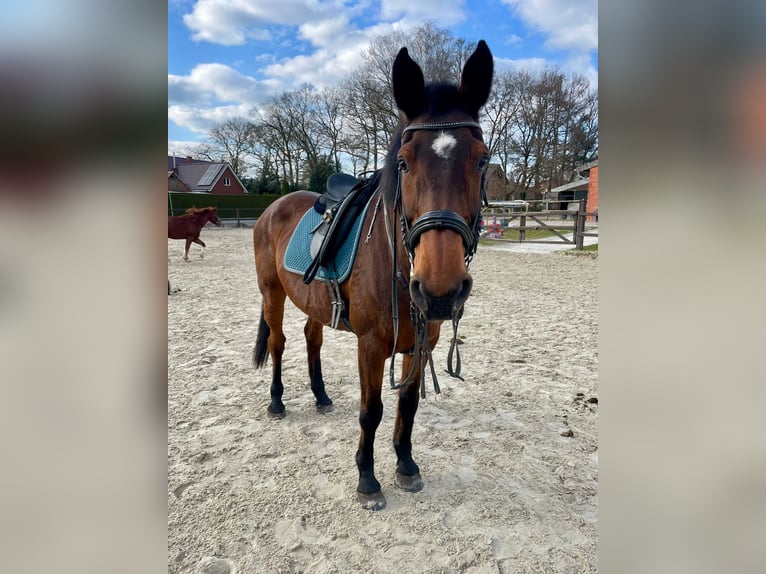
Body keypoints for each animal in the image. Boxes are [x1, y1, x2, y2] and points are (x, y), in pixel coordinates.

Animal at [252, 41, 493, 510]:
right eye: (403, 162)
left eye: (482, 160)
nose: (439, 290)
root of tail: (275, 205)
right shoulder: (371, 345)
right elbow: (372, 411)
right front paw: (367, 479)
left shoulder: (421, 340)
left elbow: (407, 406)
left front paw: (406, 465)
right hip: (272, 293)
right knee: (278, 341)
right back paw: (276, 402)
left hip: (314, 302)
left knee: (311, 339)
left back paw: (321, 396)